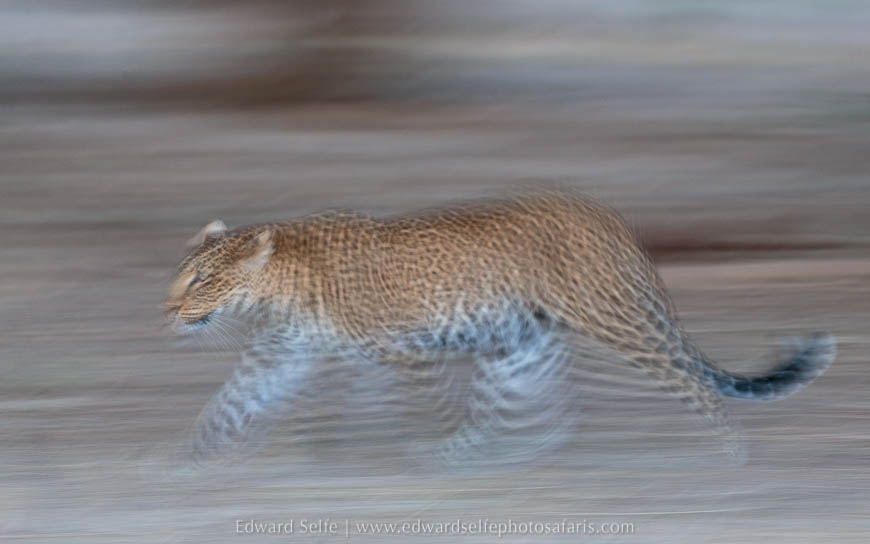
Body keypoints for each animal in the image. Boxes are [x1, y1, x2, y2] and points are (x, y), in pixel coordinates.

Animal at [165, 190, 835, 466]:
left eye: (202, 280)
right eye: (182, 275)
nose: (167, 311)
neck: (278, 292)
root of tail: (612, 219)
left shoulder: (409, 353)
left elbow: (426, 404)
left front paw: (396, 448)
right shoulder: (281, 357)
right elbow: (229, 407)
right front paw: (171, 465)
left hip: (614, 318)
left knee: (686, 378)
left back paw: (729, 455)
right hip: (519, 341)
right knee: (538, 406)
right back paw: (518, 452)